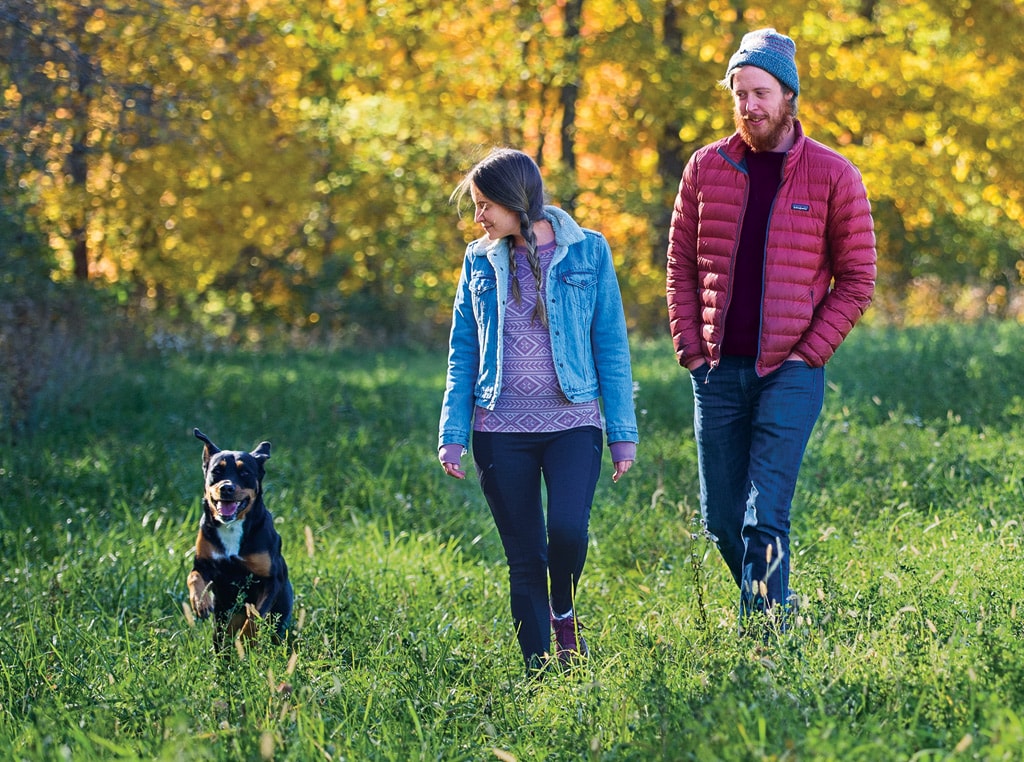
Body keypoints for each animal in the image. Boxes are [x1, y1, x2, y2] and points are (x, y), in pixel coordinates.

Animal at [188, 428, 294, 647]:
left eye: (245, 473)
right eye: (216, 471)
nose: (226, 487)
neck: (232, 527)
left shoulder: (271, 580)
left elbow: (255, 616)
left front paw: (246, 639)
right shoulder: (205, 565)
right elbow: (193, 577)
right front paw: (200, 603)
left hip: (281, 617)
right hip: (222, 619)